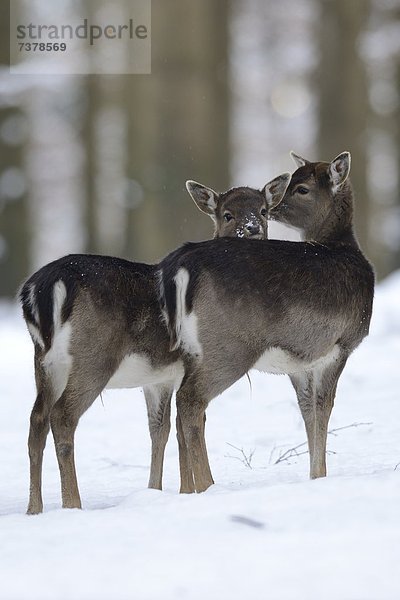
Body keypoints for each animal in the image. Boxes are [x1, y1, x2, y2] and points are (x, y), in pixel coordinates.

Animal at [20, 176, 288, 512]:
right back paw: (73, 503)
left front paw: (161, 490)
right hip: (93, 356)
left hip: (45, 361)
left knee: (36, 420)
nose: (252, 228)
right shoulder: (190, 364)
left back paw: (34, 508)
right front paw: (190, 490)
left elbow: (161, 429)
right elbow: (188, 422)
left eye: (264, 210)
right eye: (227, 214)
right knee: (62, 416)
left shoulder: (159, 378)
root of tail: (39, 290)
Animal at [159, 152, 376, 494]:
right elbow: (325, 406)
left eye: (301, 188)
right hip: (230, 345)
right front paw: (321, 475)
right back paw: (208, 485)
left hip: (189, 349)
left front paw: (314, 475)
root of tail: (180, 263)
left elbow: (307, 409)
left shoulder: (300, 361)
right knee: (190, 400)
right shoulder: (341, 344)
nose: (273, 210)